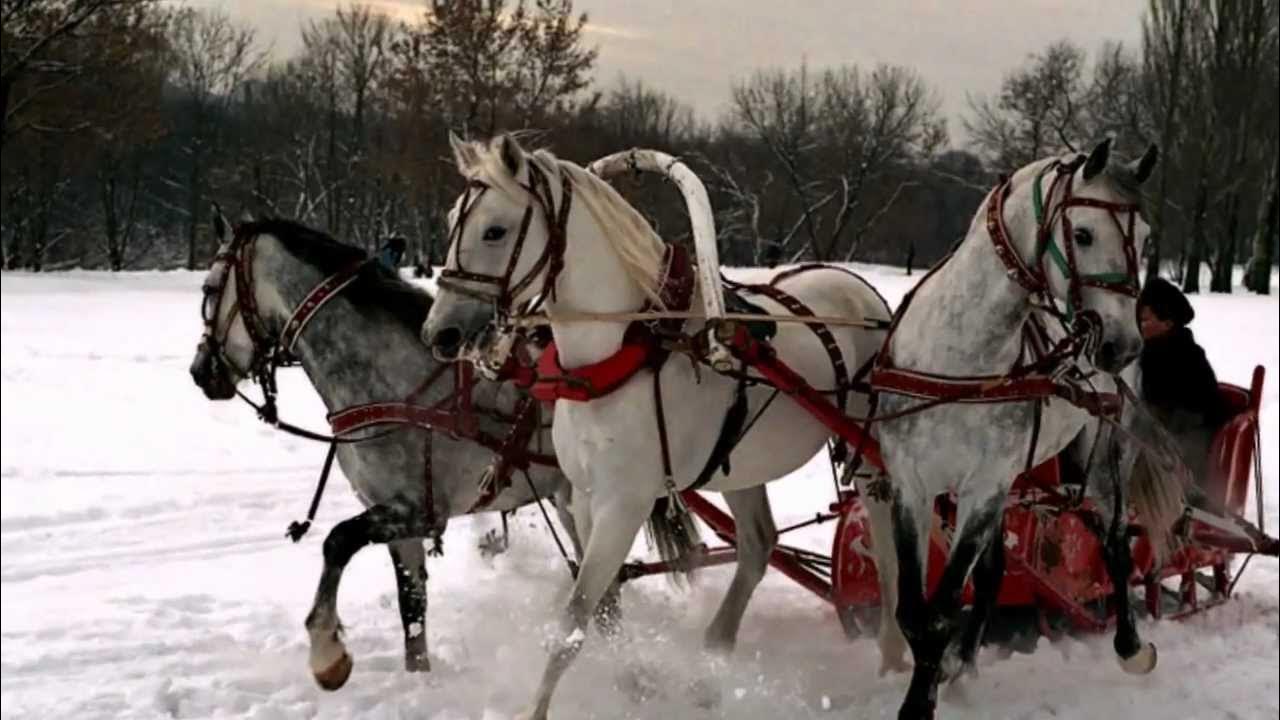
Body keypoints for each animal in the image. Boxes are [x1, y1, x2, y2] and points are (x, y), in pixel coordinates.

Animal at [419, 133, 890, 712]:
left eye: (495, 230)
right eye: (450, 221)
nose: (440, 333)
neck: (620, 352)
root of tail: (862, 291)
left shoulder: (625, 502)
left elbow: (573, 619)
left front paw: (539, 708)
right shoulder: (583, 495)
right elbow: (602, 605)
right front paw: (636, 679)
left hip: (871, 455)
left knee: (889, 548)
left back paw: (894, 655)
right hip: (742, 467)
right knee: (759, 545)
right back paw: (713, 656)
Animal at [875, 140, 1182, 717]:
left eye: (1148, 239)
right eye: (1082, 233)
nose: (1123, 344)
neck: (962, 362)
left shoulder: (983, 488)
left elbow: (941, 610)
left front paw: (919, 701)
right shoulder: (912, 483)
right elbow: (914, 610)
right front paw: (936, 675)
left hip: (1102, 459)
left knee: (1114, 543)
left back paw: (1131, 647)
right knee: (995, 569)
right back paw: (962, 666)